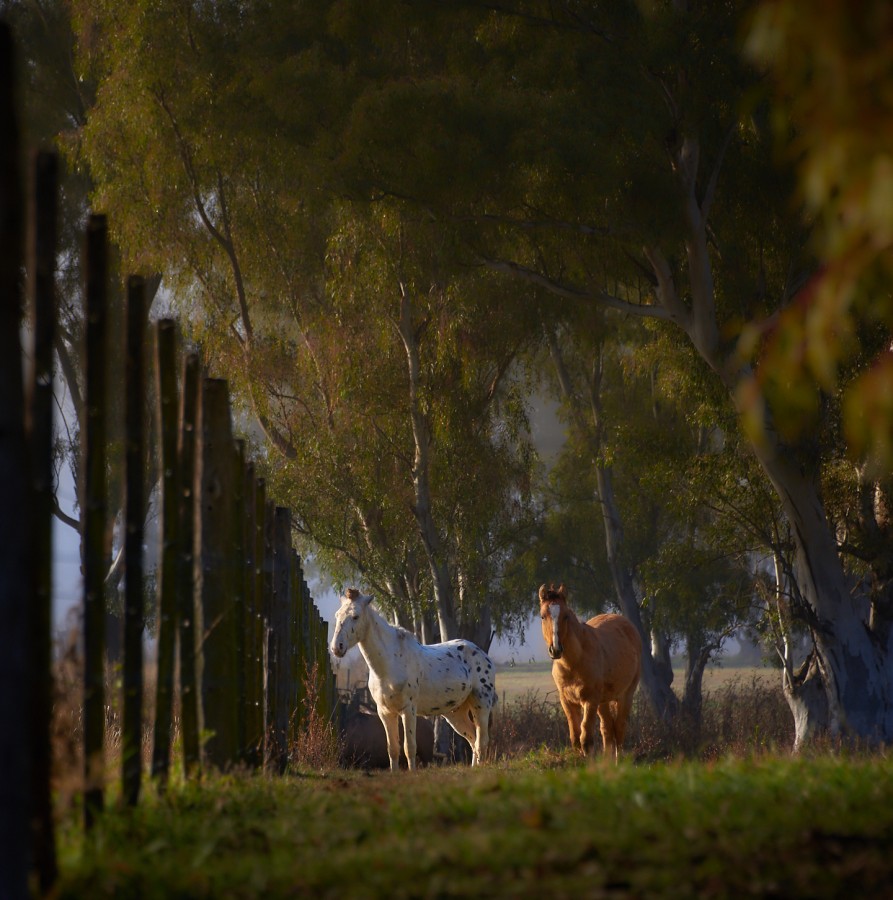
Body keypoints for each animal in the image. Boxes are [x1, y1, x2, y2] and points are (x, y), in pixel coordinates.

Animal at [330, 588, 498, 768]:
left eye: (355, 616)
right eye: (337, 615)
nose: (336, 647)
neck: (390, 664)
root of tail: (483, 655)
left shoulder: (408, 710)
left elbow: (409, 748)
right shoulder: (385, 712)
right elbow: (392, 749)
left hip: (481, 704)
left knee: (481, 742)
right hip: (455, 713)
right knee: (473, 740)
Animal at [536, 584, 640, 760]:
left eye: (566, 616)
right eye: (543, 616)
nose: (555, 649)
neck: (573, 664)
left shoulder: (590, 700)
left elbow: (586, 739)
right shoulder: (567, 701)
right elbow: (576, 738)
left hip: (625, 695)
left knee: (619, 728)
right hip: (603, 701)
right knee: (607, 729)